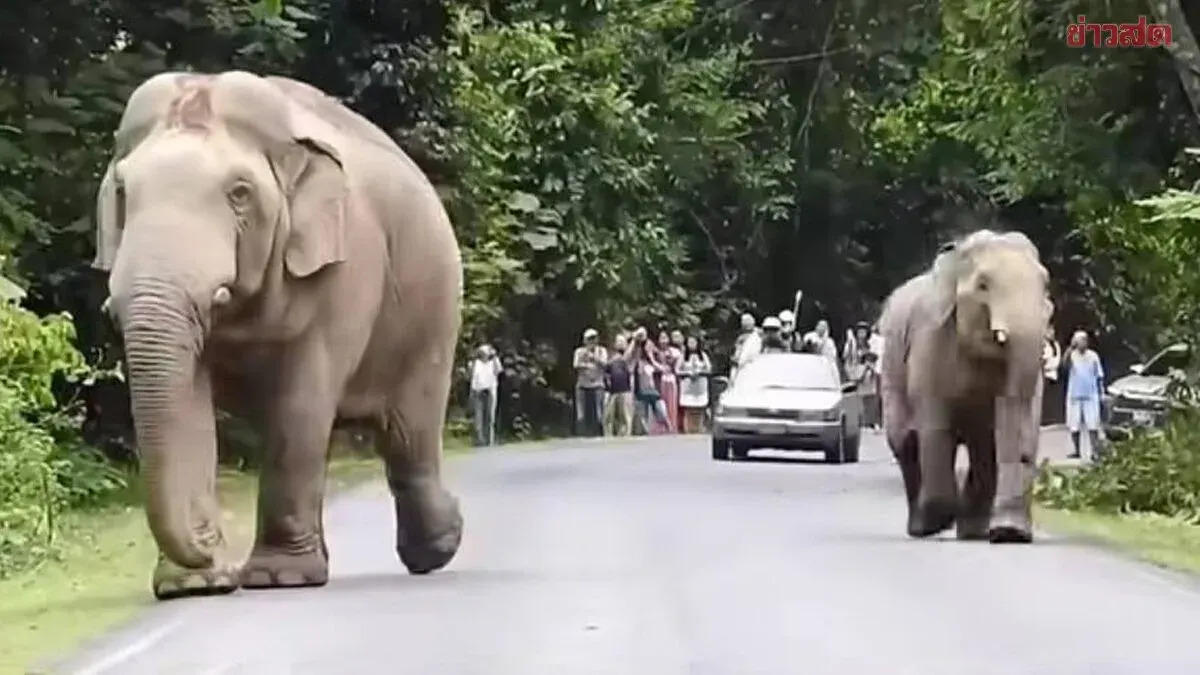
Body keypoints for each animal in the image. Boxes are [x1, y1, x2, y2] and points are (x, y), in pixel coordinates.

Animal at [93, 71, 464, 600]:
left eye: (239, 193)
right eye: (122, 191)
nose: (209, 540)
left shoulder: (345, 268)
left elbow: (300, 407)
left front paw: (278, 578)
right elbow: (191, 407)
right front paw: (195, 585)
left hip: (434, 309)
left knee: (409, 434)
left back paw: (435, 550)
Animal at [878, 229, 1052, 543]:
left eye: (1046, 285)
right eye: (983, 285)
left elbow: (1014, 423)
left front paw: (1010, 534)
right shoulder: (930, 341)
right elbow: (935, 426)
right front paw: (938, 522)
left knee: (984, 447)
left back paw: (972, 532)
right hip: (891, 367)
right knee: (905, 440)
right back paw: (922, 528)